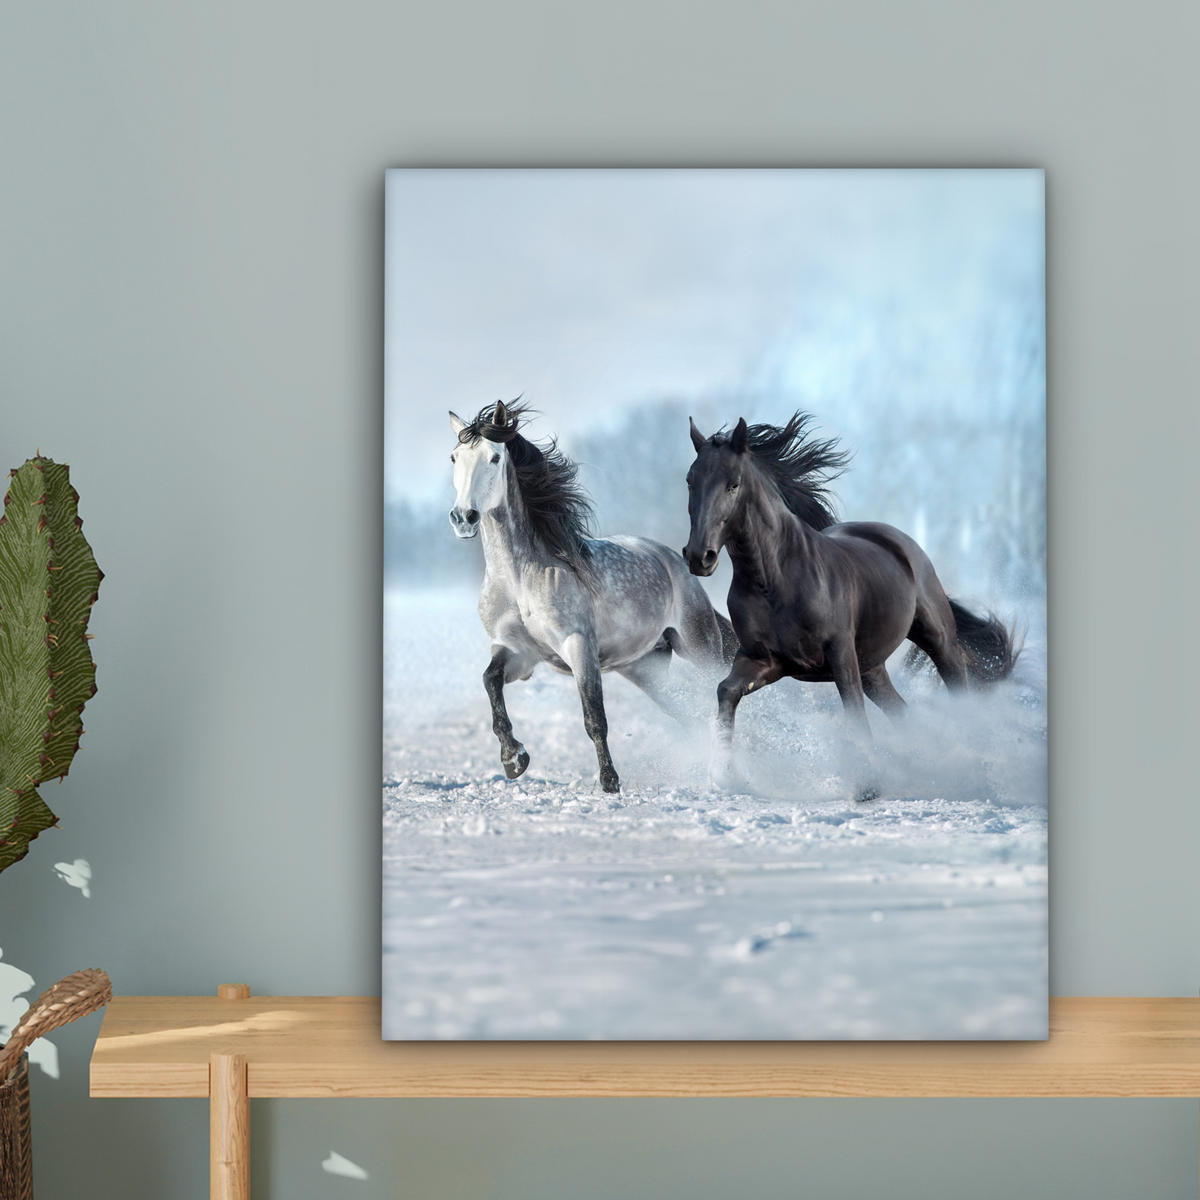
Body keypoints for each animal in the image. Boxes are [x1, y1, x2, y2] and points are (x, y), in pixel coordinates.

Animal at [448, 400, 737, 793]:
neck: (519, 578)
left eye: (494, 457)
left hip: (699, 647)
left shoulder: (579, 646)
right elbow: (490, 682)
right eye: (454, 457)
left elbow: (594, 717)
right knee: (688, 712)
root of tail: (674, 561)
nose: (463, 517)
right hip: (645, 668)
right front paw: (514, 759)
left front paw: (610, 781)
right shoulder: (517, 652)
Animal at [682, 412, 1019, 797]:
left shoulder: (840, 655)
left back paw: (974, 771)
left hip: (937, 639)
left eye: (733, 484)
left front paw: (868, 787)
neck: (775, 580)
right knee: (902, 712)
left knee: (958, 691)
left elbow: (854, 713)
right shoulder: (763, 660)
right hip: (873, 667)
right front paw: (726, 775)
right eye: (690, 481)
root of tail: (901, 542)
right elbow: (726, 691)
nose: (699, 557)